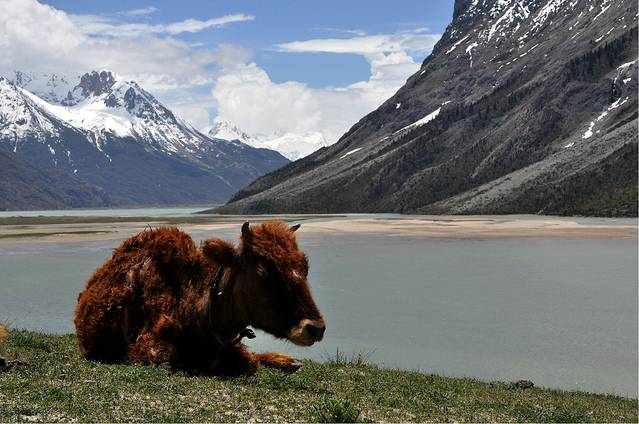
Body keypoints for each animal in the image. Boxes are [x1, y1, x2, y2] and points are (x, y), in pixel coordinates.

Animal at [74, 221, 325, 376]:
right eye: (263, 272)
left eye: (305, 268)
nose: (315, 328)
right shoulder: (148, 343)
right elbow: (166, 356)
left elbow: (249, 361)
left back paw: (289, 362)